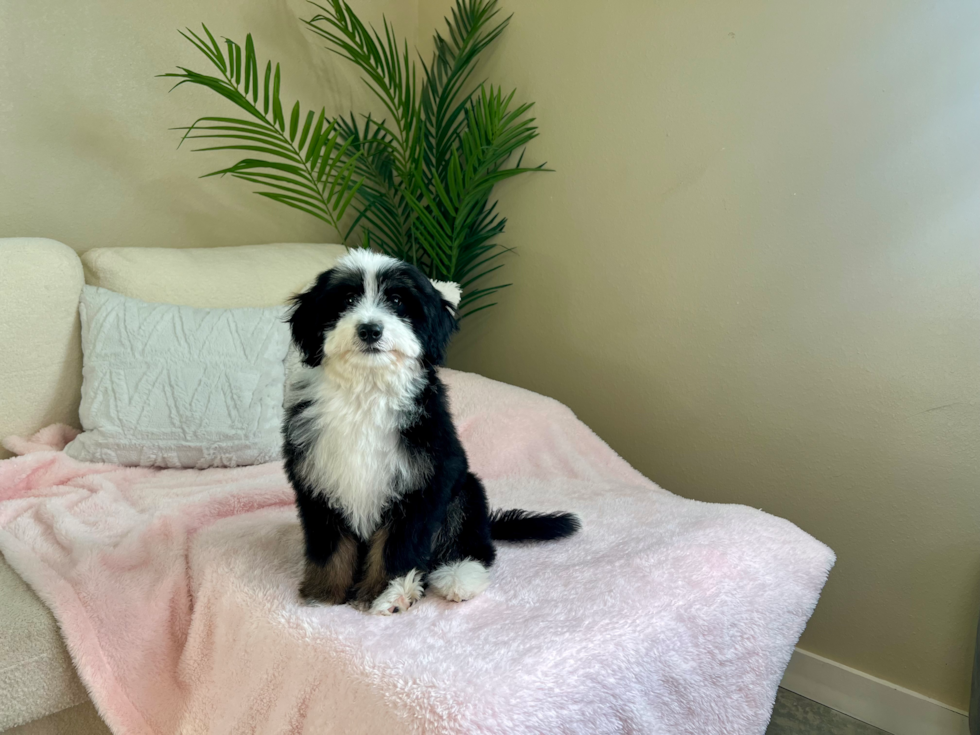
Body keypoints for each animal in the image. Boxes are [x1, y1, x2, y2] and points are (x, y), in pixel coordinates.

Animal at [280, 253, 580, 616]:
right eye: (348, 300)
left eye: (397, 301)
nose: (370, 329)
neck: (367, 391)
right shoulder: (318, 480)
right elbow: (329, 546)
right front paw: (324, 594)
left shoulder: (423, 482)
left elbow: (397, 547)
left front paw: (388, 593)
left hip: (465, 492)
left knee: (472, 546)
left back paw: (458, 577)